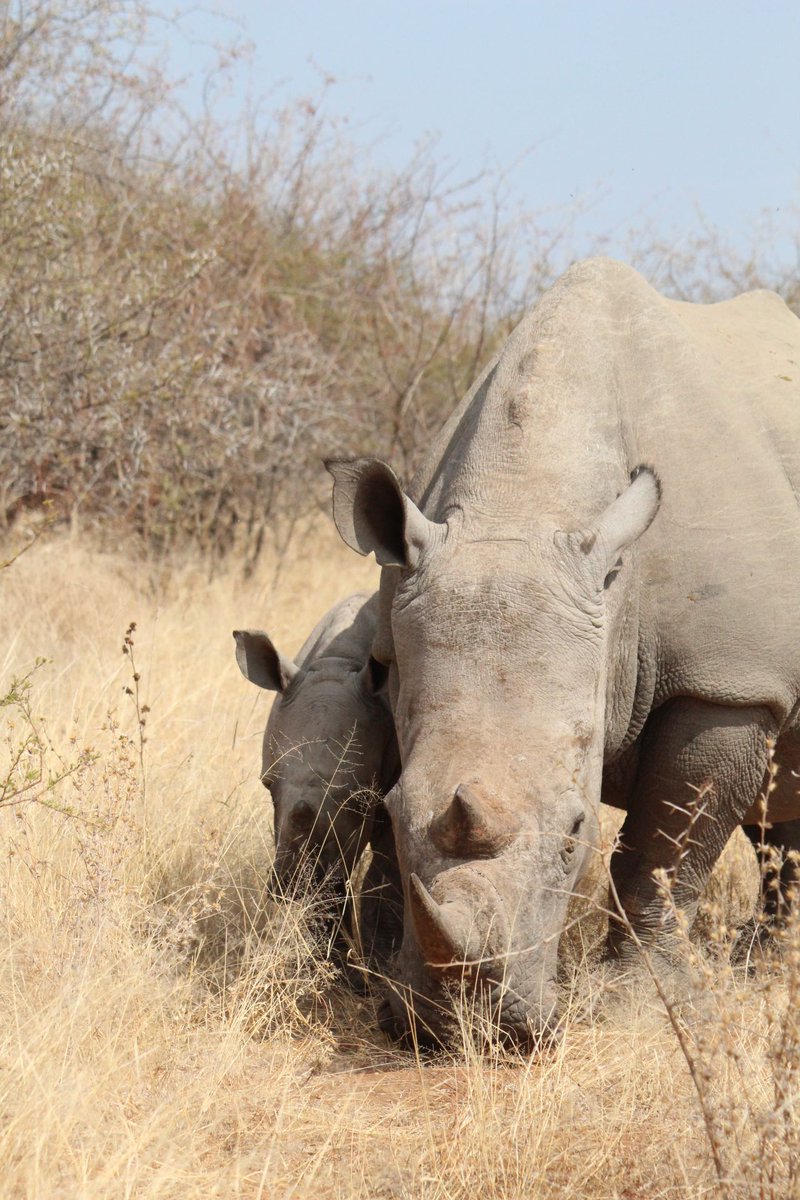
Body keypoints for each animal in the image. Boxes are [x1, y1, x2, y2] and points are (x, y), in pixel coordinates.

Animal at [234, 593, 402, 970]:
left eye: (363, 798)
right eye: (267, 785)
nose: (293, 884)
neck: (338, 662)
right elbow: (328, 901)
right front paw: (335, 967)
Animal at [327, 257, 800, 1046]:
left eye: (574, 836)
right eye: (391, 815)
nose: (465, 1028)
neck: (523, 506)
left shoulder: (730, 680)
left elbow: (667, 844)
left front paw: (637, 1005)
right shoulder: (392, 658)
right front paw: (388, 988)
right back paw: (760, 966)